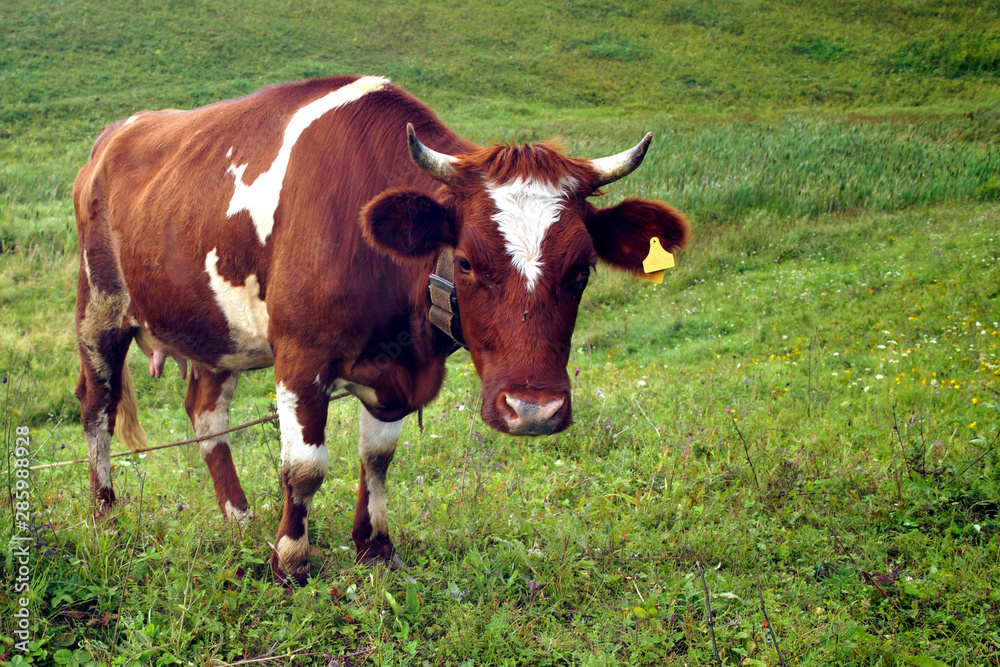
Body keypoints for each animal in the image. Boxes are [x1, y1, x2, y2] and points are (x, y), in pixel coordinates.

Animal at [74, 74, 688, 584]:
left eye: (582, 269)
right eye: (467, 262)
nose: (533, 411)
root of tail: (110, 137)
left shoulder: (395, 373)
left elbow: (378, 457)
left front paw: (374, 548)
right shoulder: (299, 356)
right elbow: (304, 467)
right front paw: (290, 560)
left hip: (214, 331)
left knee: (206, 414)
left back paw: (240, 518)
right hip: (100, 304)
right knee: (97, 406)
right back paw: (106, 513)